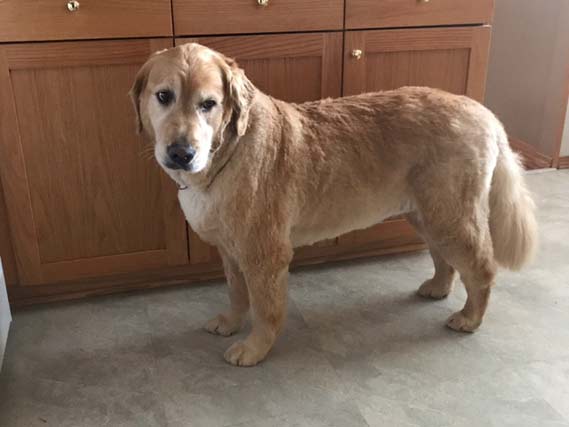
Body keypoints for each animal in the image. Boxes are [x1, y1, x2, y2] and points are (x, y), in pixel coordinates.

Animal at [129, 41, 536, 366]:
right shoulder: (230, 251)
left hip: (450, 215)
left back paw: (470, 318)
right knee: (444, 259)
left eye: (208, 104)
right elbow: (236, 292)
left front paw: (255, 348)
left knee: (481, 269)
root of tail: (483, 111)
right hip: (426, 213)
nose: (181, 153)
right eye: (163, 96)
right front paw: (230, 323)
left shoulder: (265, 254)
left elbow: (265, 309)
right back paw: (437, 287)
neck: (228, 151)